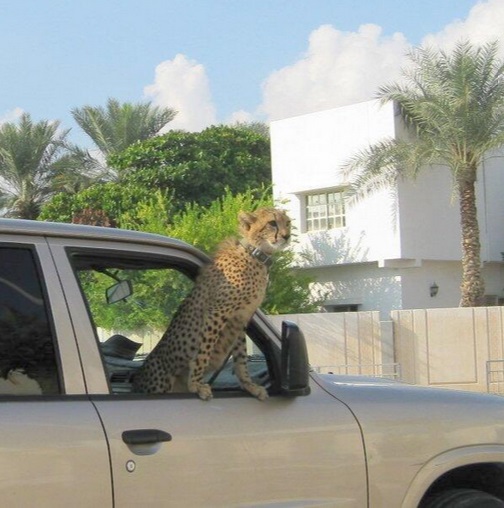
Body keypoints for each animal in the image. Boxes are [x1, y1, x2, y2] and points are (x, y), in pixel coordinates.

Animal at [134, 206, 292, 400]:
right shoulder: (217, 312)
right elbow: (204, 351)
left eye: (288, 223)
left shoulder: (239, 319)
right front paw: (196, 385)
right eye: (272, 223)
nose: (287, 236)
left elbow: (241, 357)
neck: (256, 255)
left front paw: (249, 385)